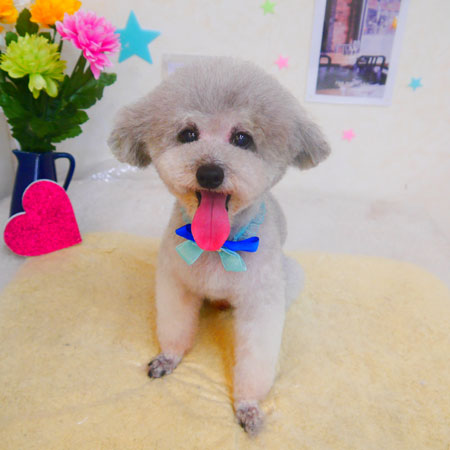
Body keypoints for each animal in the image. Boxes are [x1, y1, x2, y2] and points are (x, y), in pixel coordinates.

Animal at [108, 57, 330, 435]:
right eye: (187, 134)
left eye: (242, 138)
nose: (209, 173)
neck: (216, 247)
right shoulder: (175, 282)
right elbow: (175, 326)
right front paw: (169, 358)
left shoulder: (260, 303)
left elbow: (256, 361)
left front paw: (248, 406)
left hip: (289, 274)